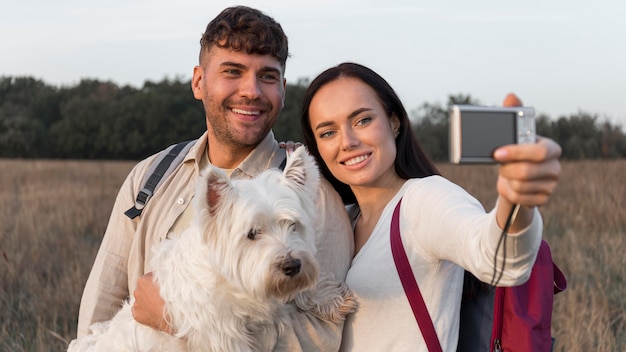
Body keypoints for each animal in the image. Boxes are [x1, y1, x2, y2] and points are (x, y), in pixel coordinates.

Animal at [69, 148, 356, 352]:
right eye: (252, 233)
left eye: (293, 225)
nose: (292, 266)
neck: (228, 278)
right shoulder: (222, 334)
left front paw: (331, 297)